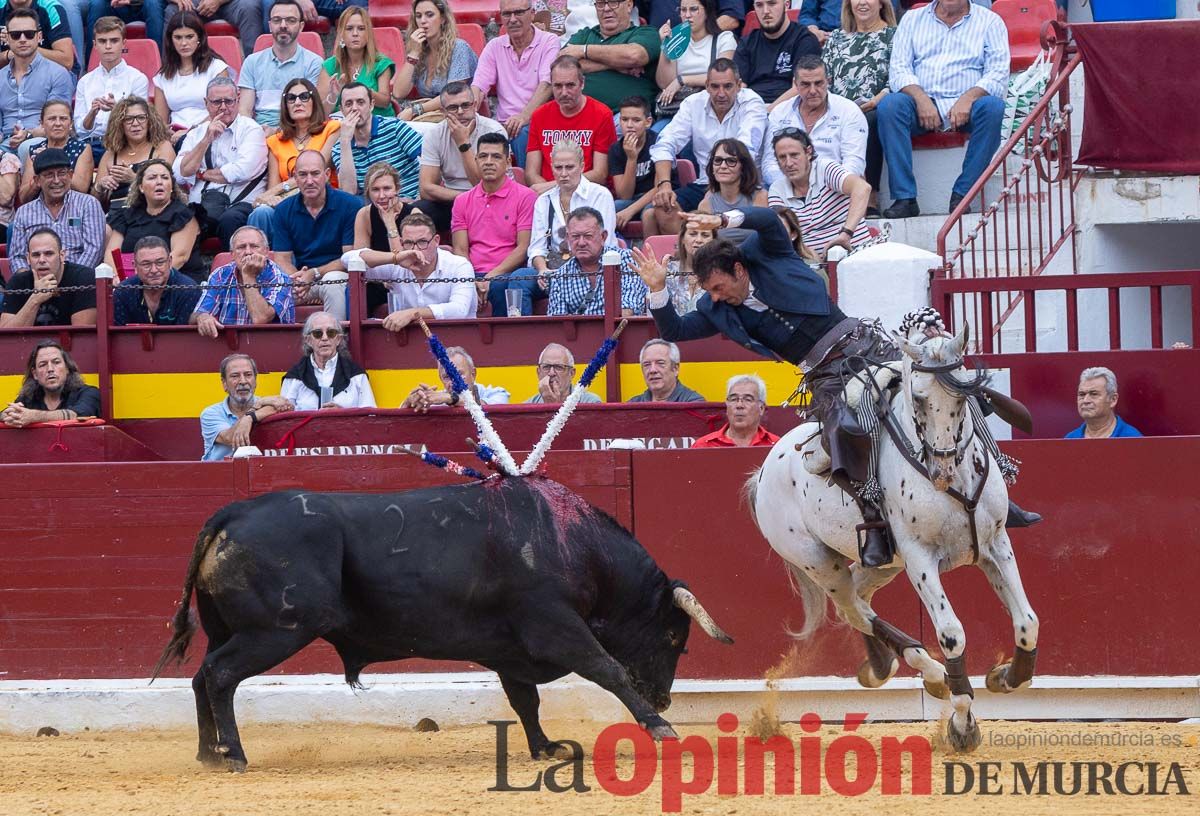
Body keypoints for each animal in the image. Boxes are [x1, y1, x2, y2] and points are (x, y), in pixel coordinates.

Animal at [150, 475, 729, 768]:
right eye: (674, 636)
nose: (663, 699)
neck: (573, 543)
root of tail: (233, 514)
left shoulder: (511, 650)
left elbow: (525, 699)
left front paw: (545, 748)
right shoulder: (556, 627)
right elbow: (608, 669)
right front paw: (661, 729)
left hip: (233, 631)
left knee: (202, 677)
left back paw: (207, 753)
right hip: (275, 631)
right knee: (221, 676)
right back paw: (234, 754)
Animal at [748, 324, 1041, 753]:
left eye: (964, 394)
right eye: (918, 398)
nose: (941, 471)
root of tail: (766, 468)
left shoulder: (996, 545)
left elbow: (1027, 622)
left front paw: (1004, 677)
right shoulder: (920, 559)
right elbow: (952, 634)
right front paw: (962, 725)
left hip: (881, 564)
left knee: (857, 597)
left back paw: (891, 667)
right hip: (818, 563)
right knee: (853, 608)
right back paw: (928, 672)